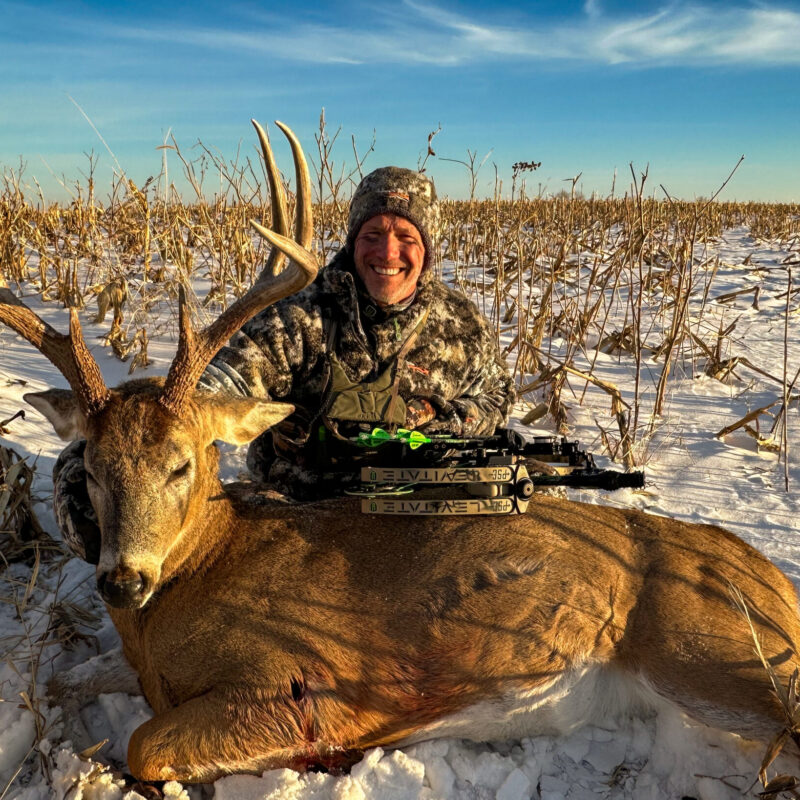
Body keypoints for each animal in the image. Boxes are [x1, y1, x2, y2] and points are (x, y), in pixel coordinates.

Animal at [2, 121, 800, 785]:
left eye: (182, 463)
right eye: (92, 467)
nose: (120, 580)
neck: (189, 580)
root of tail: (775, 581)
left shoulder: (295, 681)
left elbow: (145, 744)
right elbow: (60, 680)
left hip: (718, 647)